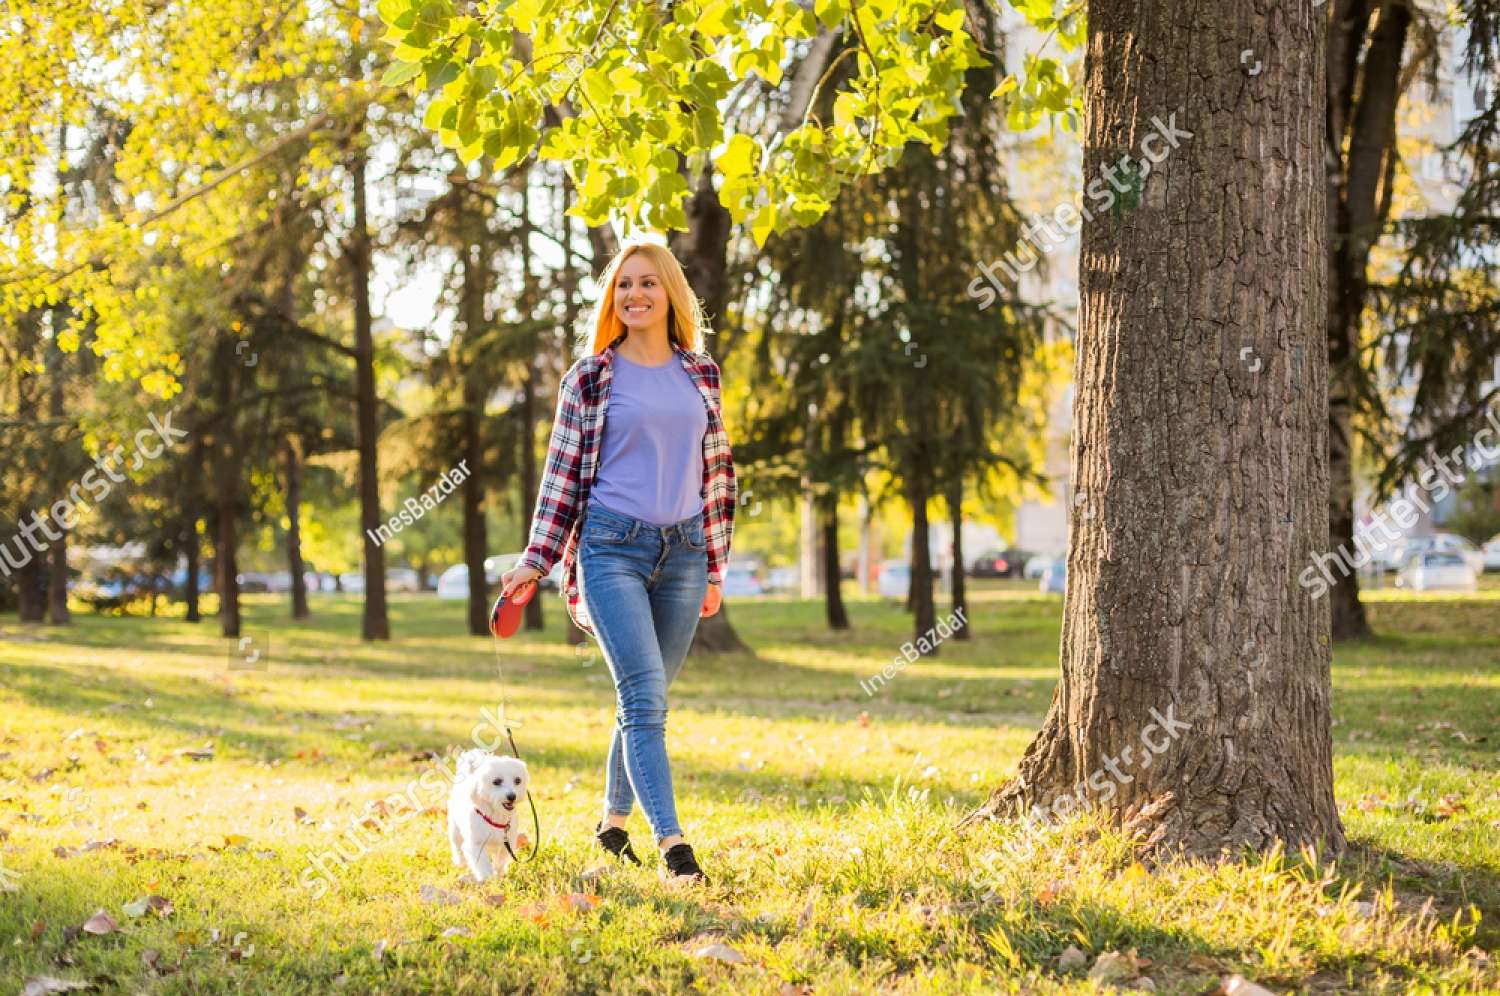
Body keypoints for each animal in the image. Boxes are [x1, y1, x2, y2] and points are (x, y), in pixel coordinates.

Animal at [447, 750, 531, 882]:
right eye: (496, 781)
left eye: (518, 780)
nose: (512, 796)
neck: (495, 816)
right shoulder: (476, 843)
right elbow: (482, 863)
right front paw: (487, 878)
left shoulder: (506, 843)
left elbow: (500, 861)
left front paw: (499, 874)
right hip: (454, 828)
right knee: (457, 844)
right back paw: (460, 861)